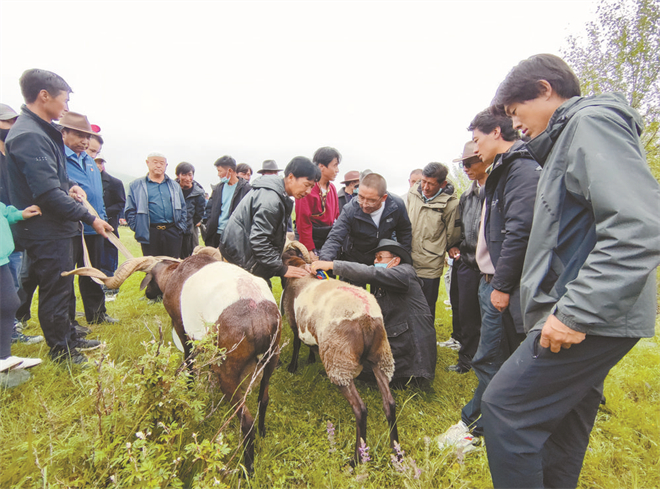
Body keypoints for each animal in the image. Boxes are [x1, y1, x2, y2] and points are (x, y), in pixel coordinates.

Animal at [66, 248, 282, 472]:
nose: (147, 294)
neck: (175, 273)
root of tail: (260, 317)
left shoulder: (181, 326)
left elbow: (189, 363)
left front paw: (189, 390)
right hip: (271, 359)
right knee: (264, 399)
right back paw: (263, 432)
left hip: (227, 371)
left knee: (246, 420)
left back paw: (247, 469)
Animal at [280, 242, 400, 464]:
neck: (298, 269)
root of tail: (366, 319)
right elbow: (309, 345)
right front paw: (311, 359)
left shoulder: (294, 322)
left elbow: (297, 344)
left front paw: (292, 367)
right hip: (381, 357)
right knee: (389, 403)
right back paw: (396, 451)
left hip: (339, 362)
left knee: (360, 409)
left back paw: (357, 459)